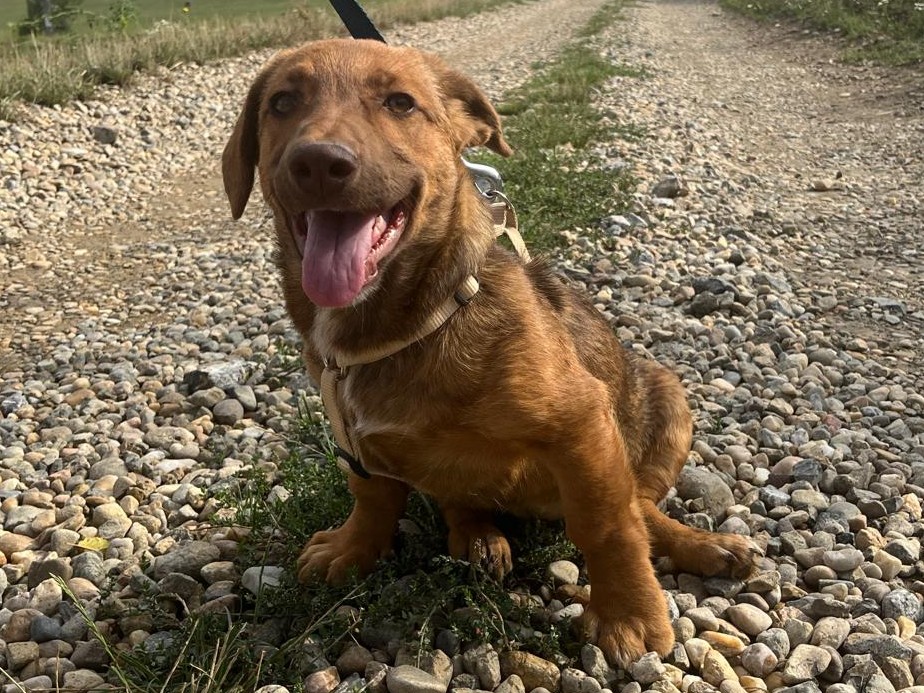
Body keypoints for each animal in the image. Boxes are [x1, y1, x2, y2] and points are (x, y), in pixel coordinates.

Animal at [222, 38, 757, 666]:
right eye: (282, 103)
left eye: (400, 103)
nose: (319, 163)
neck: (407, 325)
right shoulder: (355, 438)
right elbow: (372, 496)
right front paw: (354, 548)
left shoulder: (581, 422)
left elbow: (607, 525)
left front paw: (628, 614)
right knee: (461, 498)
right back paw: (478, 536)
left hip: (668, 399)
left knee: (642, 507)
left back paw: (706, 546)